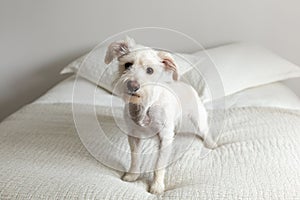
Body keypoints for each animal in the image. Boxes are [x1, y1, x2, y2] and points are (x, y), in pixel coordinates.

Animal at [104, 37, 214, 194]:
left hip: (199, 119)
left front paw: (157, 186)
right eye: (127, 65)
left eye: (150, 70)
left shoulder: (164, 138)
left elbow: (159, 165)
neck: (146, 105)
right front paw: (132, 175)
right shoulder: (133, 135)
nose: (132, 85)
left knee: (205, 132)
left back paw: (211, 144)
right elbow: (135, 158)